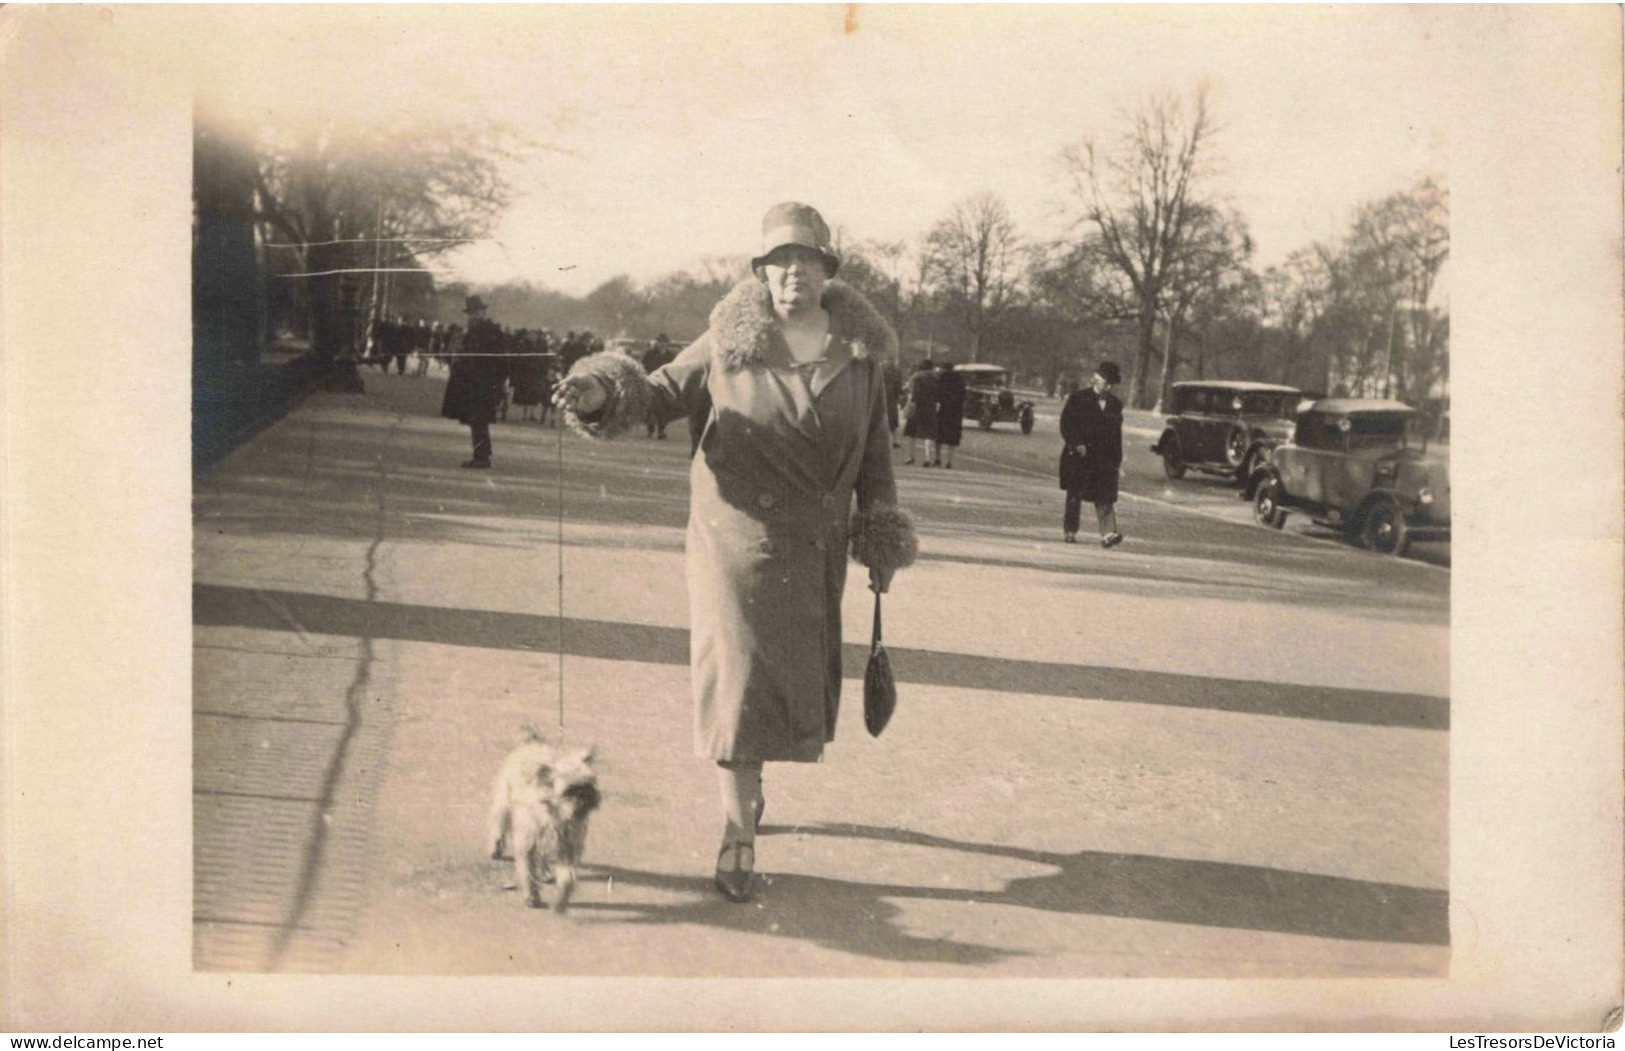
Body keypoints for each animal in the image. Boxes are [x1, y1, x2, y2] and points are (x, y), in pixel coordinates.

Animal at [490, 724, 607, 909]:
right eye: (570, 790)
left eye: (591, 783)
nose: (588, 795)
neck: (557, 815)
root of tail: (532, 743)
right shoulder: (527, 844)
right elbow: (528, 871)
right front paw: (532, 896)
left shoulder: (568, 847)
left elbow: (568, 876)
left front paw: (563, 896)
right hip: (504, 802)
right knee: (499, 824)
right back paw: (496, 847)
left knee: (543, 856)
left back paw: (545, 872)